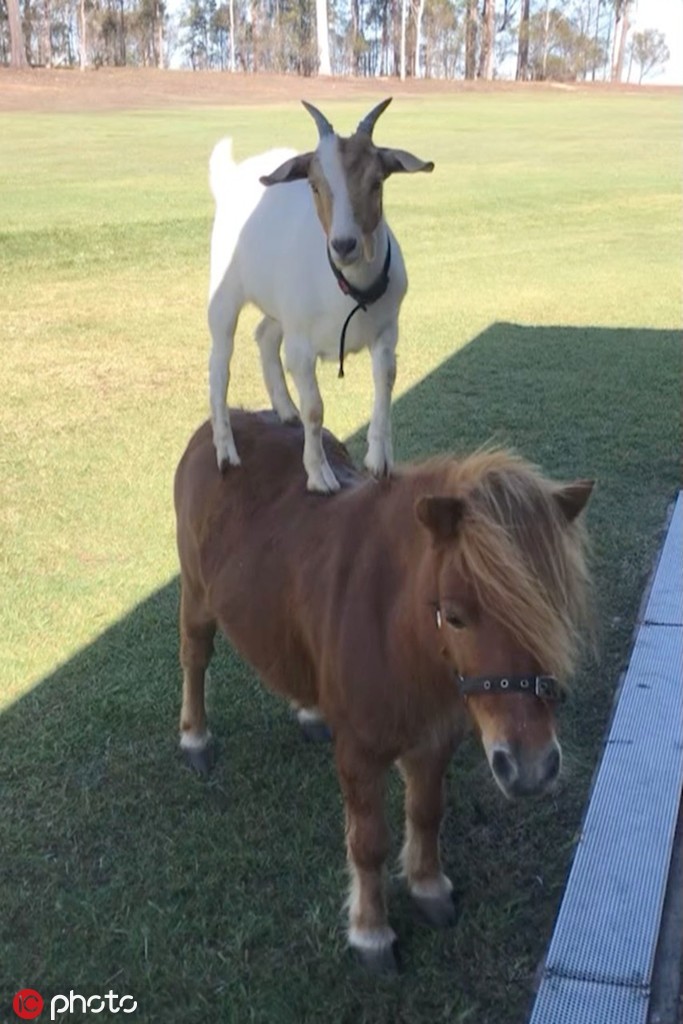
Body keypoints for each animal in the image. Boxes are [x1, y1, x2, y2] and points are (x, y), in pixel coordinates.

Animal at [175, 407, 593, 966]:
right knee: (195, 659)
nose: (531, 769)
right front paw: (371, 931)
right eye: (454, 616)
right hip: (197, 595)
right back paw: (196, 738)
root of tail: (227, 423)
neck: (398, 634)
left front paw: (428, 885)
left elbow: (427, 811)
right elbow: (368, 841)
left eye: (554, 610)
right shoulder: (359, 753)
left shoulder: (436, 738)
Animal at [205, 98, 436, 491]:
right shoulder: (301, 347)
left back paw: (285, 410)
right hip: (223, 296)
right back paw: (225, 453)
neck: (351, 291)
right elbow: (315, 408)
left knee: (265, 335)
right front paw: (319, 475)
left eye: (376, 183)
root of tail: (231, 177)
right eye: (314, 185)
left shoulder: (387, 330)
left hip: (280, 304)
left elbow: (385, 380)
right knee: (220, 365)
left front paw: (380, 461)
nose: (344, 245)